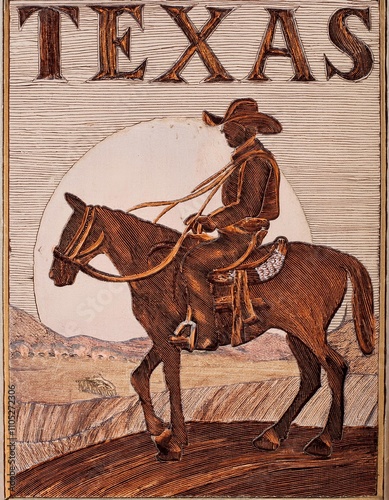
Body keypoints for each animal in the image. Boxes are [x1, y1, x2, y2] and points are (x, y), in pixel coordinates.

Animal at [48, 193, 372, 462]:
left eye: (71, 230)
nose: (54, 274)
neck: (154, 266)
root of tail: (339, 257)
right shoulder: (165, 335)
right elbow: (139, 377)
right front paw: (161, 433)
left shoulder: (165, 336)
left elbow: (171, 381)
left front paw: (172, 443)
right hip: (294, 334)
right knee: (310, 378)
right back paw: (271, 436)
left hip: (309, 330)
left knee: (336, 366)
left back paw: (324, 441)